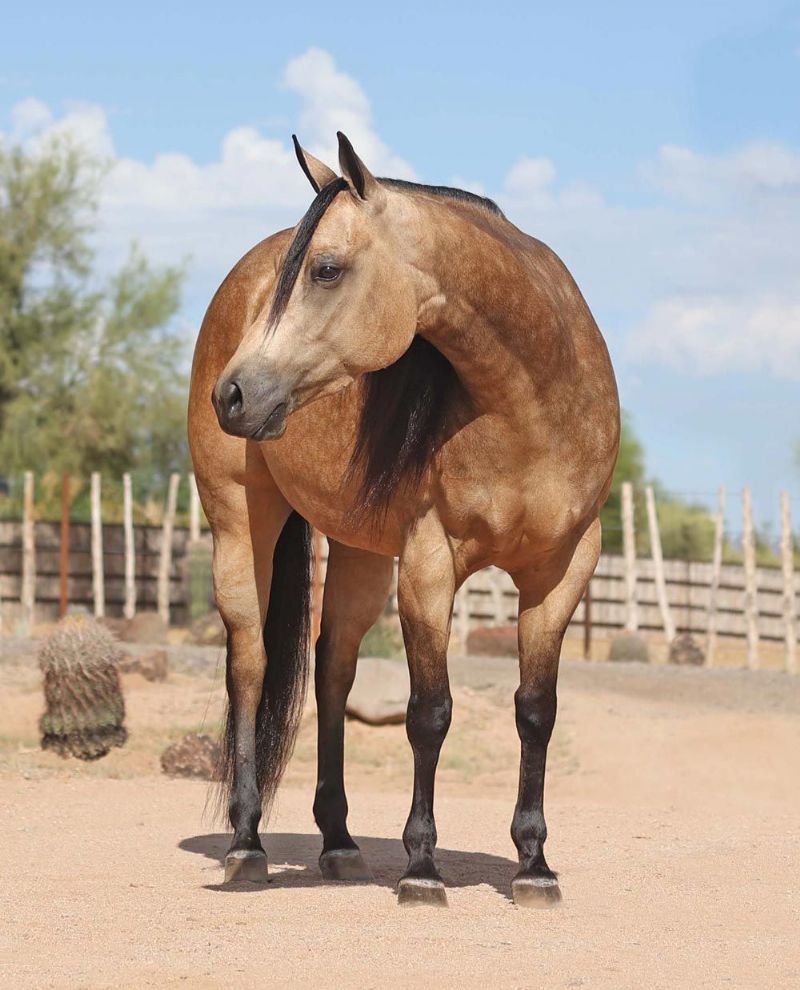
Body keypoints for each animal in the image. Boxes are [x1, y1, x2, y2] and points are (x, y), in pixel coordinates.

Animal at [188, 132, 620, 907]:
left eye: (326, 269)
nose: (232, 394)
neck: (532, 409)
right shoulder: (430, 564)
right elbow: (430, 713)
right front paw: (422, 866)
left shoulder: (563, 570)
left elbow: (536, 709)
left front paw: (534, 864)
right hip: (239, 521)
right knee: (250, 664)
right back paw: (247, 844)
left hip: (359, 551)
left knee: (332, 669)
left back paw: (339, 842)